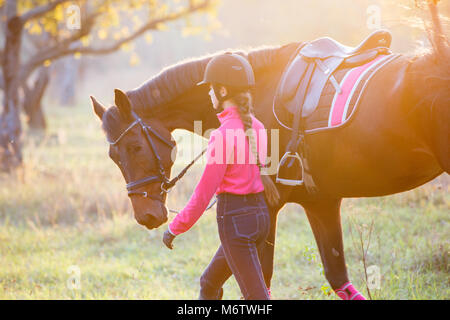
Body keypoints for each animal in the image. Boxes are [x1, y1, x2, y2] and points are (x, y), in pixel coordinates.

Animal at [89, 6, 448, 300]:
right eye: (113, 158)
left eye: (135, 147)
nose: (146, 216)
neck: (259, 92)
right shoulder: (320, 202)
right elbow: (337, 278)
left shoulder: (269, 206)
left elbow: (251, 280)